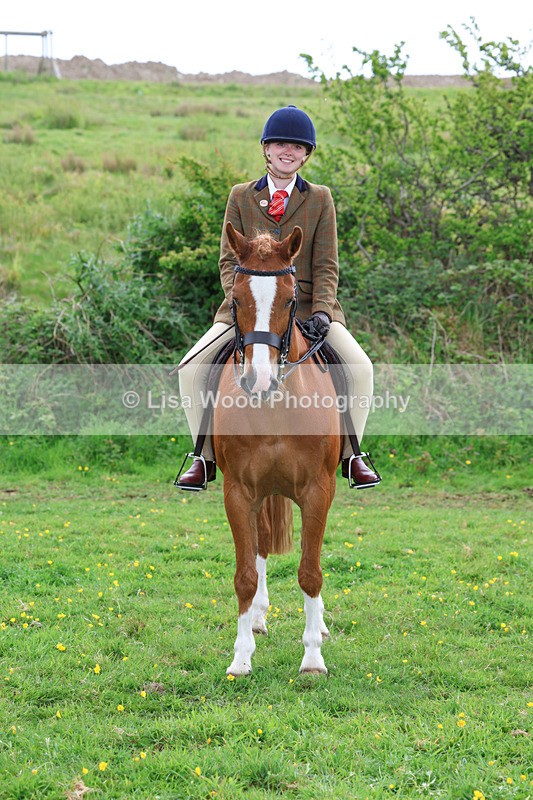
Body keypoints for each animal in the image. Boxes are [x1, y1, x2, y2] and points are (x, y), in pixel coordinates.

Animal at [213, 222, 343, 676]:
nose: (259, 380)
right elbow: (245, 575)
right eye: (236, 298)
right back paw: (257, 618)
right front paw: (240, 657)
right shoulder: (237, 493)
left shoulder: (318, 491)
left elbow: (311, 572)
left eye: (290, 299)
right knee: (261, 549)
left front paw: (313, 658)